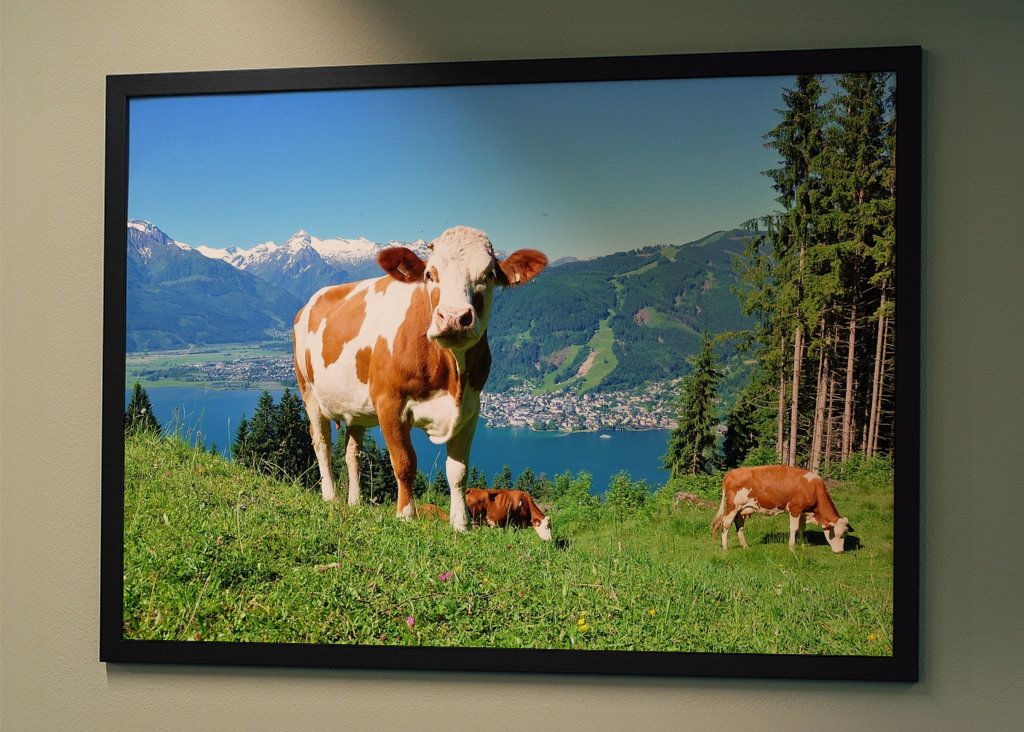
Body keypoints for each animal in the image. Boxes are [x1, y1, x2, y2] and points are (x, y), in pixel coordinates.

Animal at [292, 225, 547, 532]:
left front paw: (460, 524)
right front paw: (405, 514)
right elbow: (404, 462)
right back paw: (330, 497)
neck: (451, 376)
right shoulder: (389, 402)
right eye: (429, 274)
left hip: (355, 408)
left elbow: (458, 471)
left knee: (352, 452)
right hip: (308, 389)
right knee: (322, 443)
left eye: (489, 274)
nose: (453, 317)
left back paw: (354, 502)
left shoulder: (471, 408)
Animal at [711, 465, 852, 553]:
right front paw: (792, 548)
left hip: (741, 509)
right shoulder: (795, 509)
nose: (840, 551)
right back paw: (725, 547)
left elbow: (802, 529)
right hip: (733, 507)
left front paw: (803, 546)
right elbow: (794, 528)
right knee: (726, 523)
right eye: (838, 534)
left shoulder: (803, 511)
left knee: (739, 525)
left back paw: (745, 546)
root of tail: (731, 472)